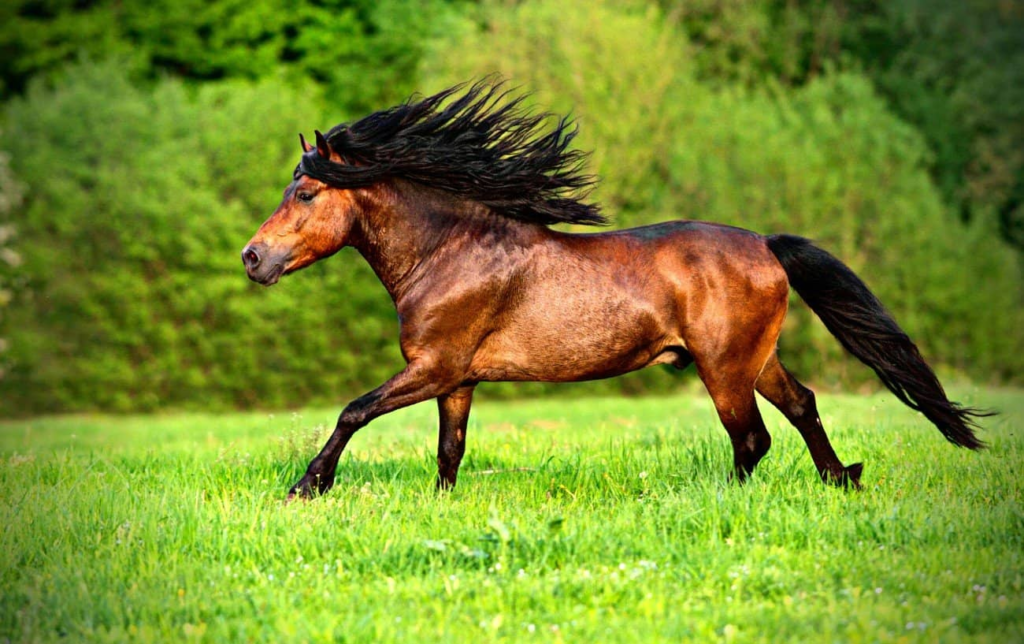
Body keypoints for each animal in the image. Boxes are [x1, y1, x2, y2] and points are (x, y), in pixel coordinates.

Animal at [241, 81, 987, 500]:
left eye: (305, 193)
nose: (252, 258)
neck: (448, 253)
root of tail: (763, 244)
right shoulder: (457, 377)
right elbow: (449, 450)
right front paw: (439, 506)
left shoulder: (432, 367)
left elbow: (353, 411)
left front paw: (306, 486)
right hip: (756, 358)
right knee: (802, 407)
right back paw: (842, 479)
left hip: (723, 367)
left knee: (751, 439)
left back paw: (720, 499)